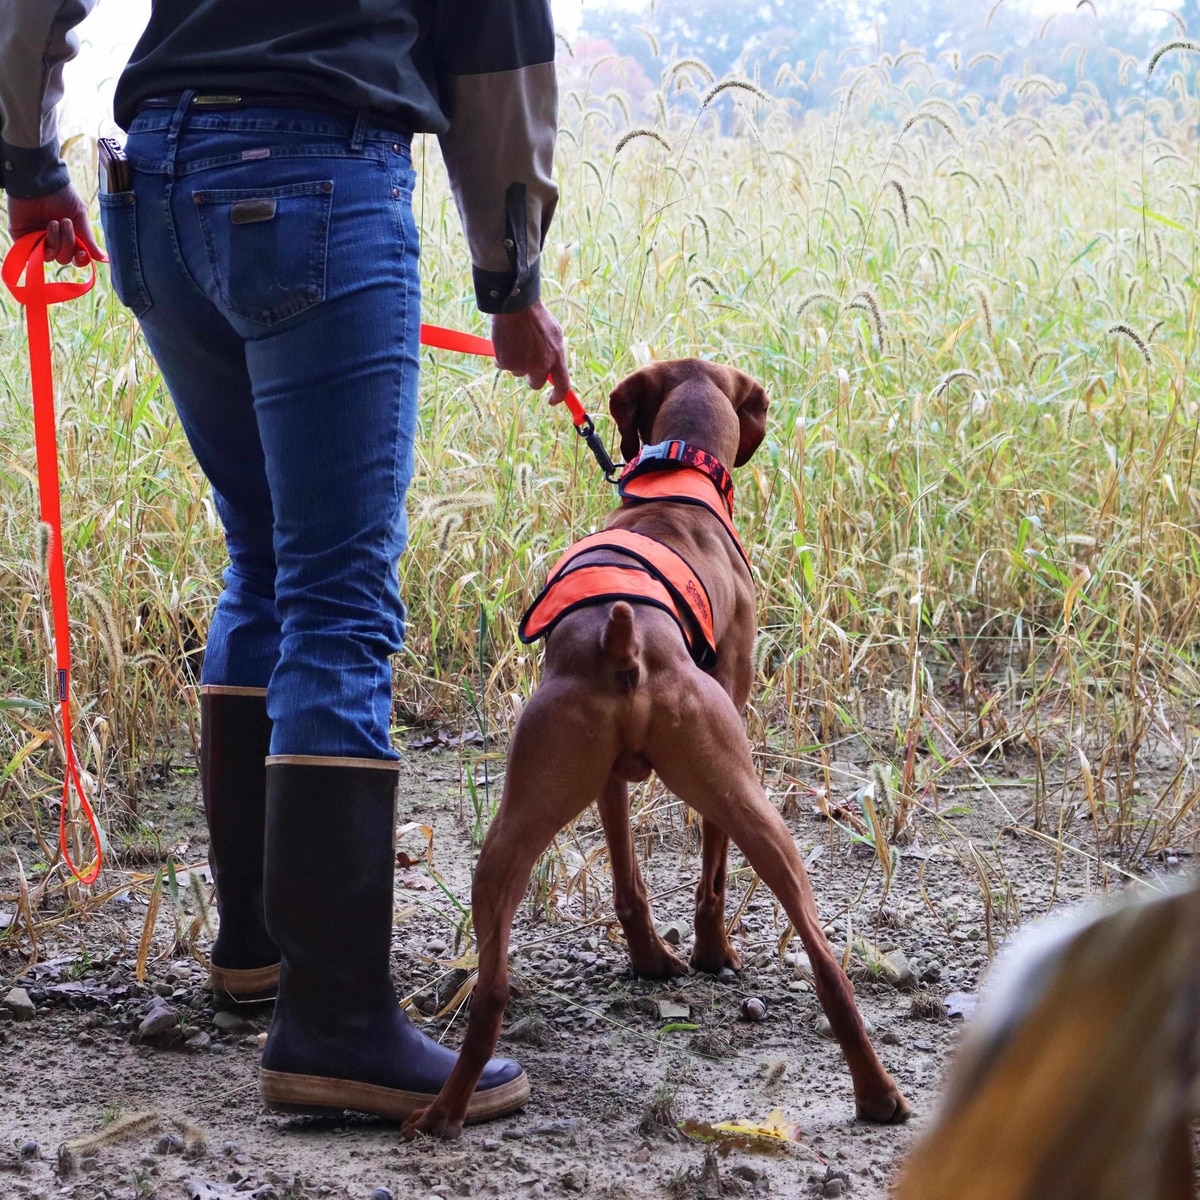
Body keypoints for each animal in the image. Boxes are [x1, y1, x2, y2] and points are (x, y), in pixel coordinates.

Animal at [404, 359, 911, 1137]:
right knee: (823, 956)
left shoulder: (608, 781)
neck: (678, 482)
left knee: (490, 992)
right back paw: (879, 1095)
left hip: (511, 834)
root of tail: (624, 641)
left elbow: (627, 877)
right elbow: (711, 874)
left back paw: (445, 1112)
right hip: (749, 796)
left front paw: (649, 959)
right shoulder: (735, 708)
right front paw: (709, 956)